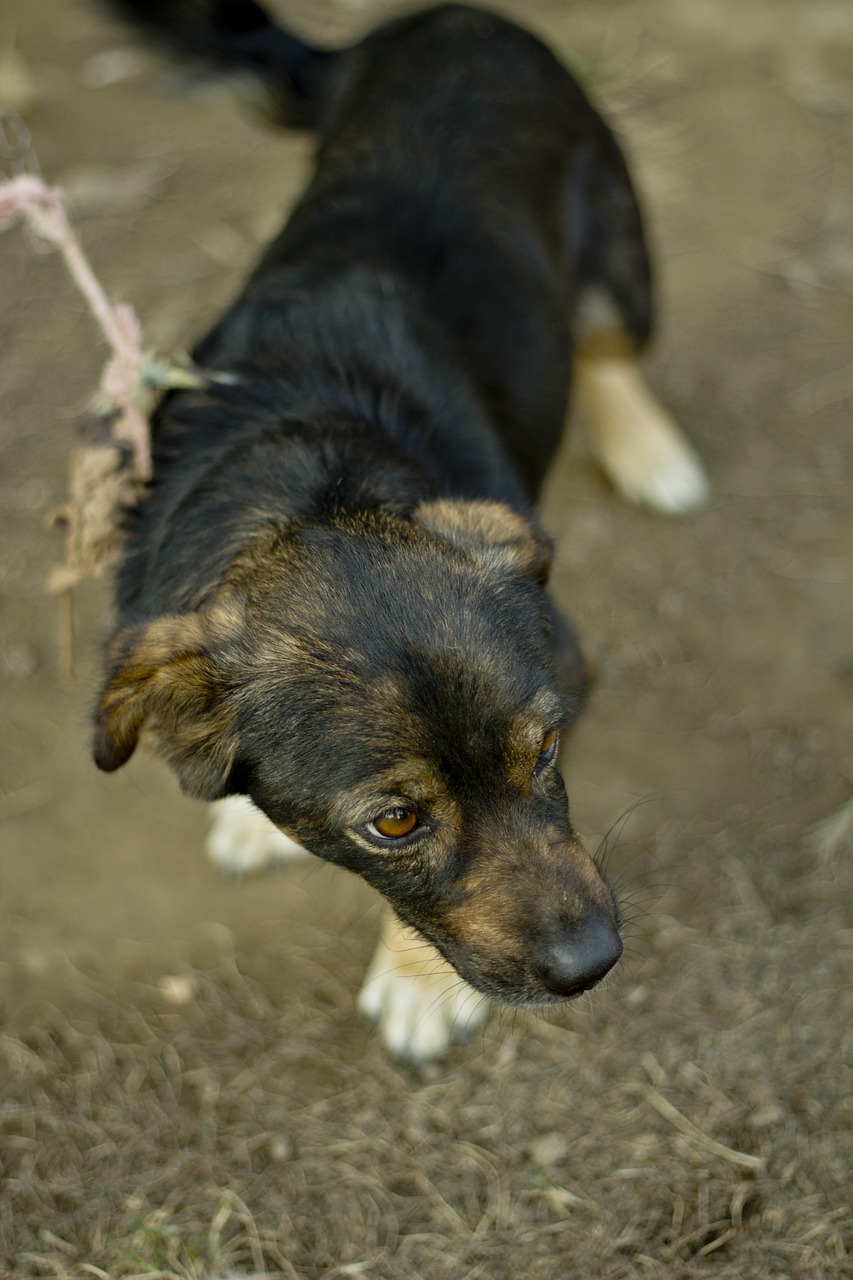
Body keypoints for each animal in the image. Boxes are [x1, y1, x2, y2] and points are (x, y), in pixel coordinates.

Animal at [92, 0, 701, 1059]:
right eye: (394, 824)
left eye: (548, 749)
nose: (593, 965)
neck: (305, 491)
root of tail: (446, 16)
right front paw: (250, 819)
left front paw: (420, 986)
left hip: (619, 251)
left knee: (604, 344)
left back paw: (646, 447)